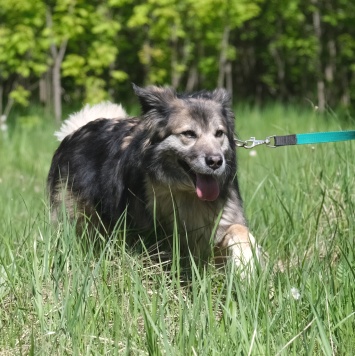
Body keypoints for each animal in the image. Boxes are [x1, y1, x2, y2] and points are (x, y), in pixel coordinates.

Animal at [48, 84, 262, 270]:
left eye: (219, 133)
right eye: (189, 134)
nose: (216, 161)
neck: (187, 193)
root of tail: (75, 131)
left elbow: (239, 231)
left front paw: (247, 266)